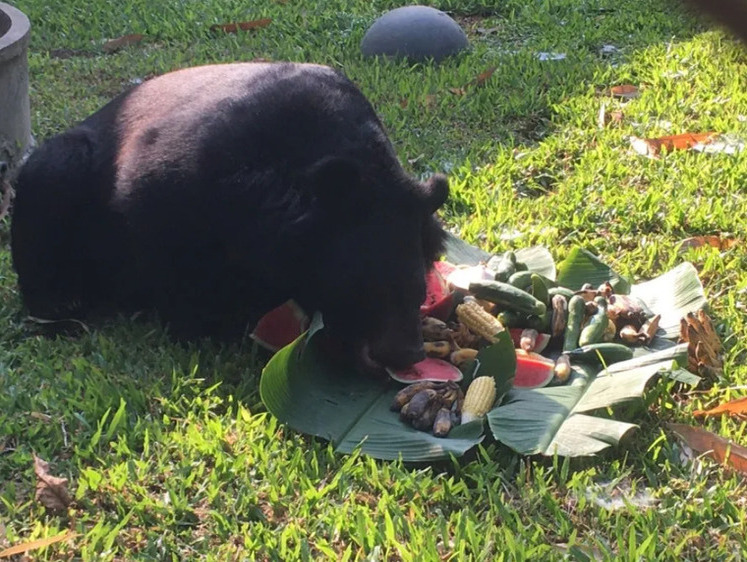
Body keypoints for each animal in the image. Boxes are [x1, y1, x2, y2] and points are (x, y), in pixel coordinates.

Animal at [10, 62, 450, 372]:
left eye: (418, 291)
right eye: (361, 289)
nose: (405, 354)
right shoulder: (167, 181)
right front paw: (201, 325)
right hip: (61, 168)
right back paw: (62, 310)